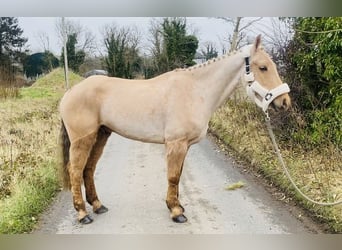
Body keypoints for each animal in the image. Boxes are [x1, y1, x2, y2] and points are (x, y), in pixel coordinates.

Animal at [59, 35, 292, 225]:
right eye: (263, 67)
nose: (284, 102)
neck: (196, 90)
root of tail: (70, 92)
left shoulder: (184, 146)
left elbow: (178, 175)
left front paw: (178, 205)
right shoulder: (176, 144)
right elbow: (172, 176)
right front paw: (176, 212)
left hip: (101, 135)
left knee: (88, 169)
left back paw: (98, 206)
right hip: (83, 139)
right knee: (75, 171)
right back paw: (82, 214)